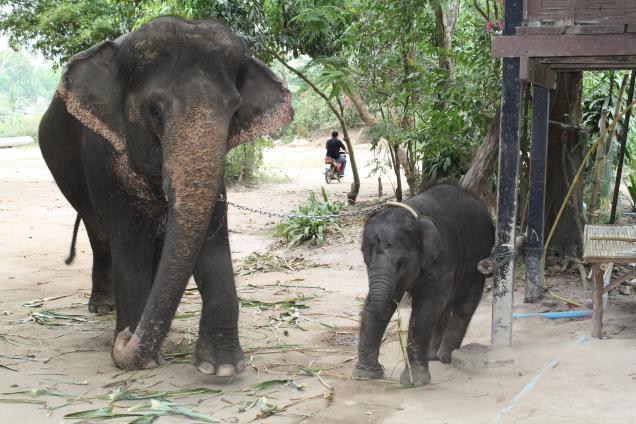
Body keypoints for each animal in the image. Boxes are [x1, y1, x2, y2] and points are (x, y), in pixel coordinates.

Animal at [41, 18, 294, 380]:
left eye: (234, 110)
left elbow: (212, 241)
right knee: (99, 235)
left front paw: (222, 367)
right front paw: (141, 356)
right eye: (153, 110)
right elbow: (130, 243)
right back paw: (104, 308)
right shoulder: (106, 156)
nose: (124, 339)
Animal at [356, 184, 494, 386]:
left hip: (479, 261)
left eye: (400, 263)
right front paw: (365, 375)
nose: (380, 369)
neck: (412, 214)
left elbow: (425, 308)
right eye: (366, 260)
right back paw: (432, 356)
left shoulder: (443, 258)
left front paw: (414, 383)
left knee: (463, 306)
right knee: (444, 308)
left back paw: (446, 357)